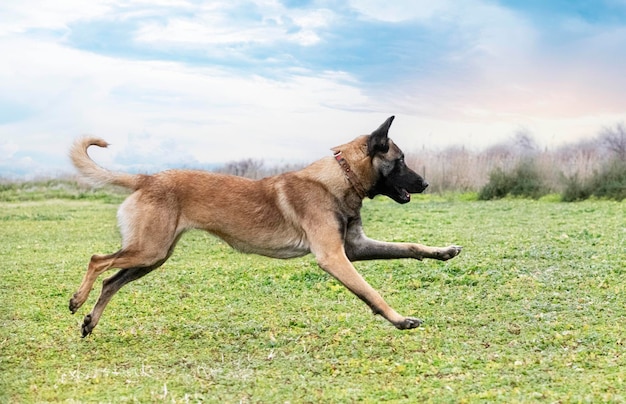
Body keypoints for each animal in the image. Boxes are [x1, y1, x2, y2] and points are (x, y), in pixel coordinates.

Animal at [69, 117, 458, 338]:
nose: (425, 184)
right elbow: (371, 293)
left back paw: (90, 322)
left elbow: (409, 247)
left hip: (153, 256)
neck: (340, 177)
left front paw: (442, 251)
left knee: (111, 281)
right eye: (401, 161)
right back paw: (77, 299)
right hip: (149, 250)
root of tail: (147, 178)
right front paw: (400, 320)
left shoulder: (354, 248)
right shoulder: (333, 257)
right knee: (97, 260)